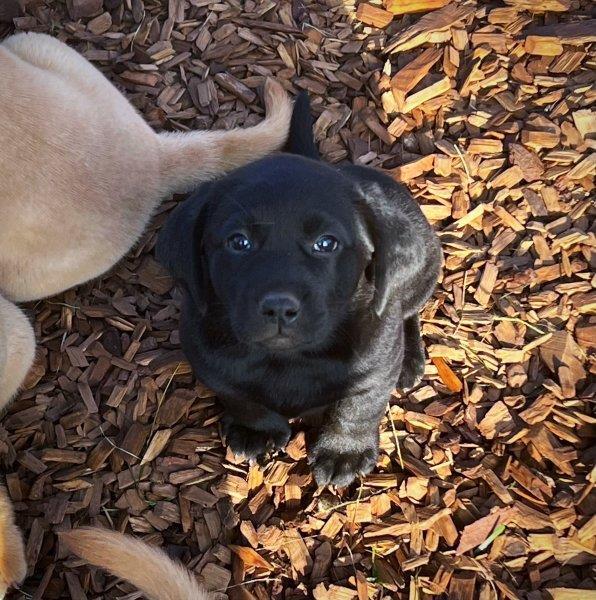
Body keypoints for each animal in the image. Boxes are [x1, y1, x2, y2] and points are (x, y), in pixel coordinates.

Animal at [158, 94, 442, 488]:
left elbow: (359, 405)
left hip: (421, 272)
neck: (290, 358)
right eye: (238, 242)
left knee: (409, 311)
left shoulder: (376, 363)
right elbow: (240, 396)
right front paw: (257, 430)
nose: (279, 307)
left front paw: (344, 451)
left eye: (326, 243)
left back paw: (411, 358)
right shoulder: (207, 357)